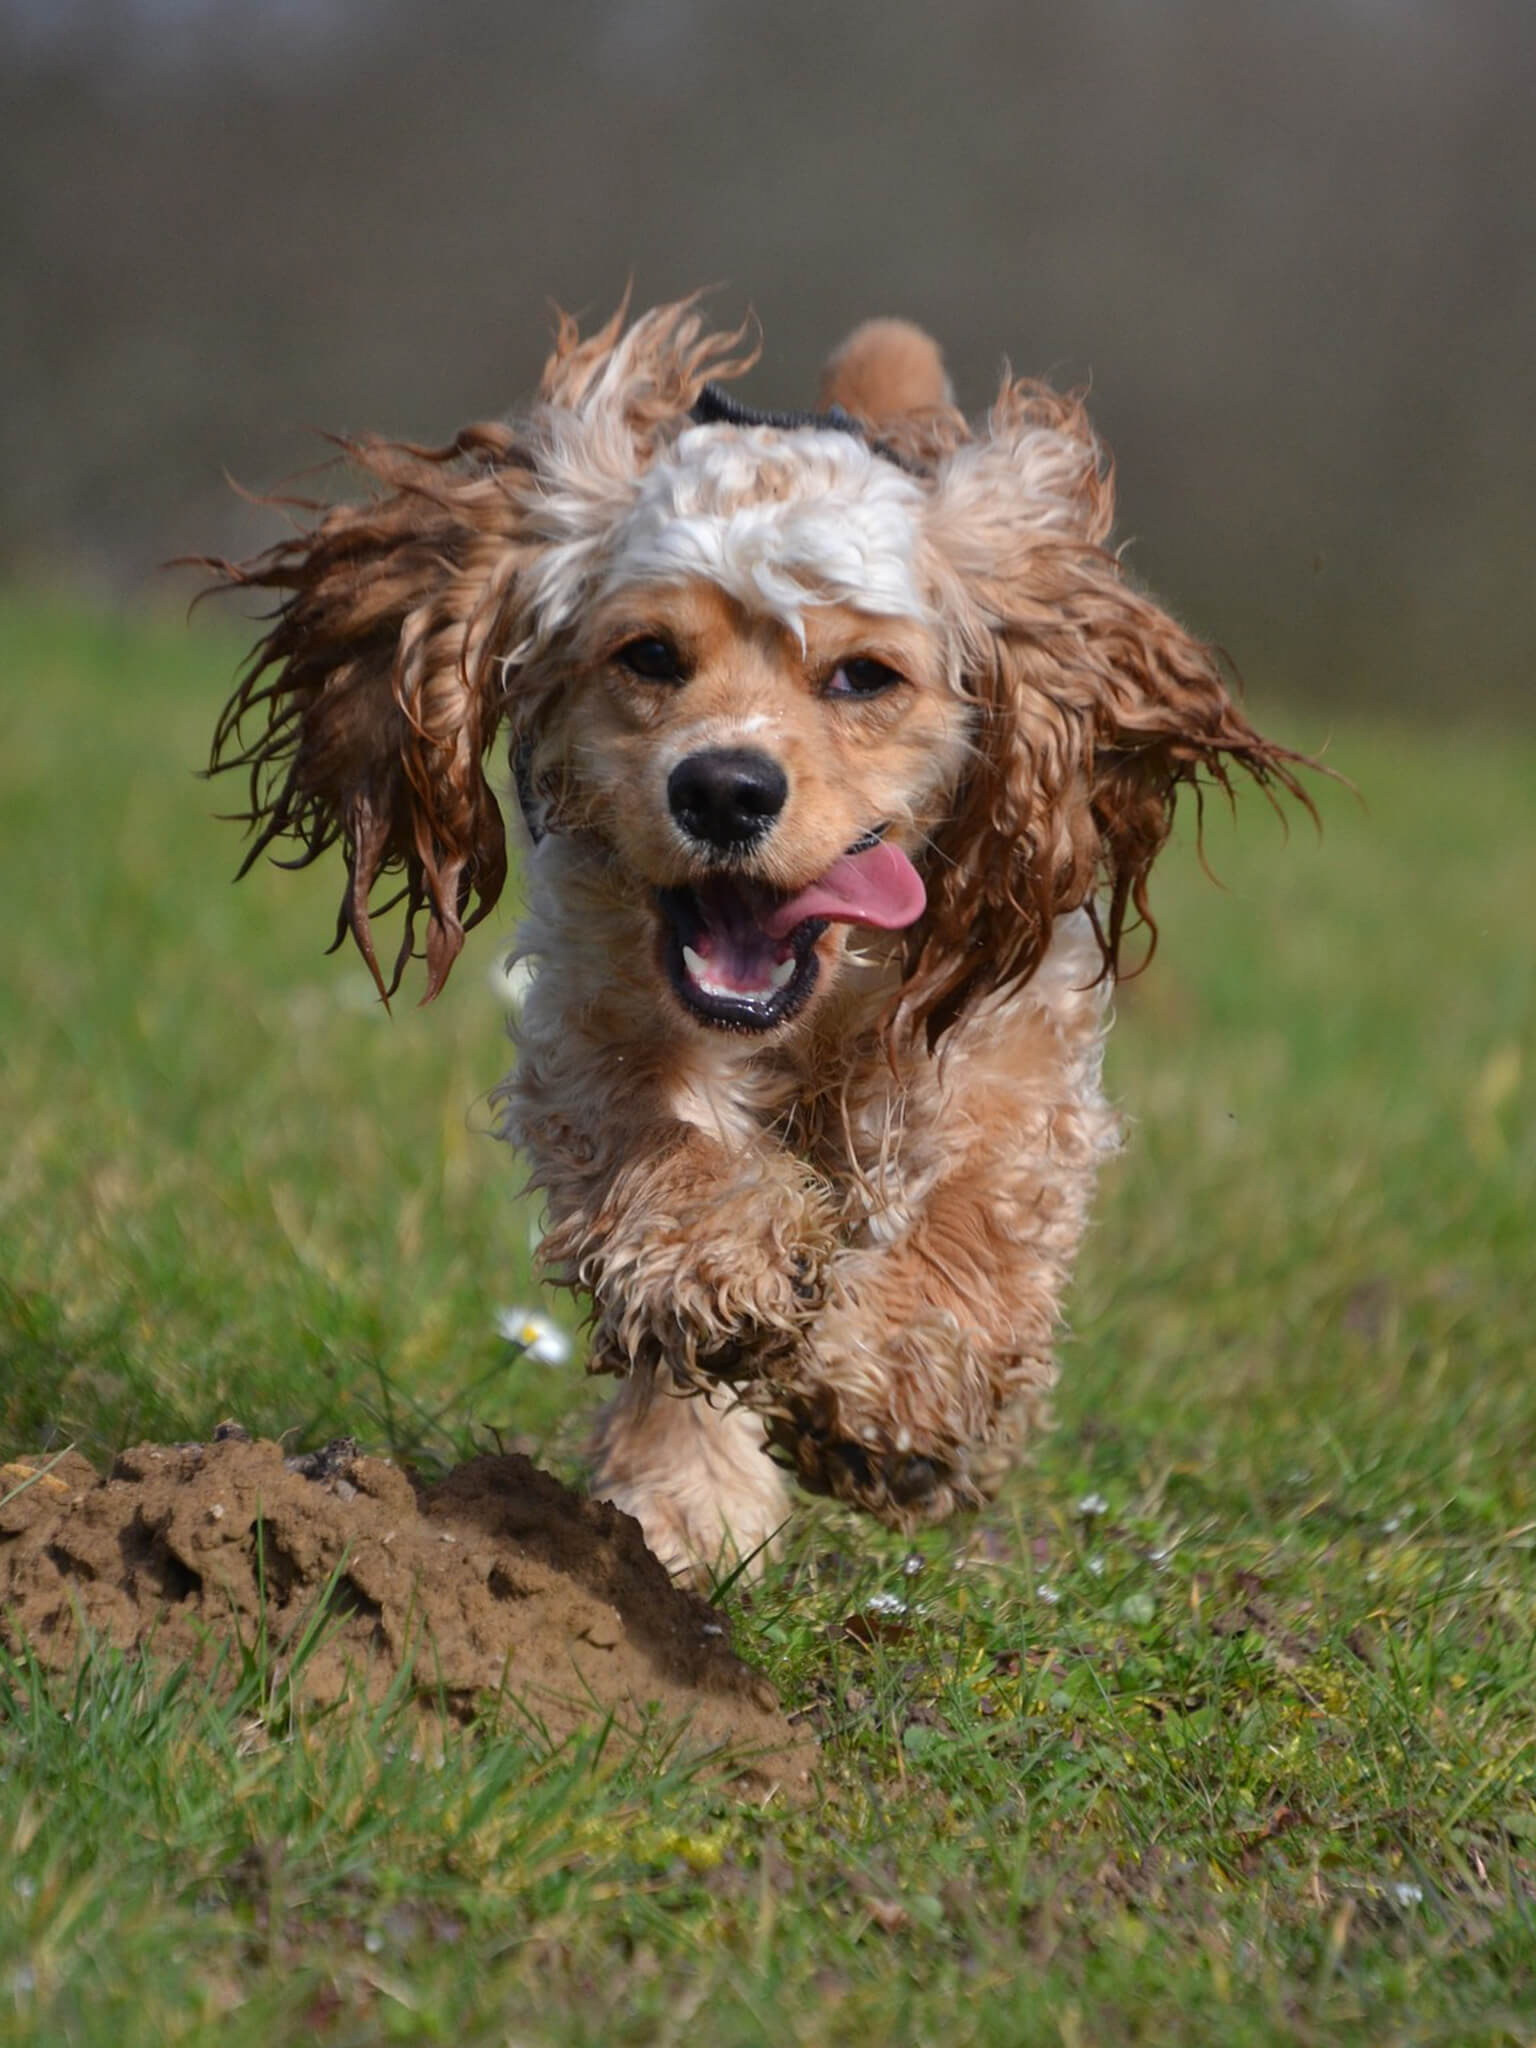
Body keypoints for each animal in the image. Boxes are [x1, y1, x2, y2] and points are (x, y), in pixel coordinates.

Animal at [207, 303, 1310, 1581]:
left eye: (865, 674)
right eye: (648, 655)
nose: (725, 788)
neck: (815, 1010)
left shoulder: (1015, 1020)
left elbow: (977, 1194)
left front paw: (898, 1386)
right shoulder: (595, 1001)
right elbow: (662, 1144)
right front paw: (708, 1309)